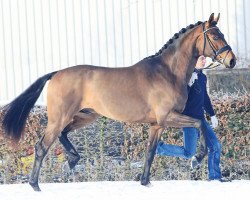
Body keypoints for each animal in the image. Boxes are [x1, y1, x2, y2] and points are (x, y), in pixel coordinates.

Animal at [2, 13, 235, 191]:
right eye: (215, 36)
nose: (232, 61)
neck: (167, 72)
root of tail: (56, 73)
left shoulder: (157, 124)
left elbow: (151, 151)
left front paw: (145, 182)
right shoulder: (167, 117)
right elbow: (199, 122)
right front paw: (197, 158)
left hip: (85, 115)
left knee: (63, 134)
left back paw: (72, 159)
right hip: (60, 117)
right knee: (42, 146)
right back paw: (35, 185)